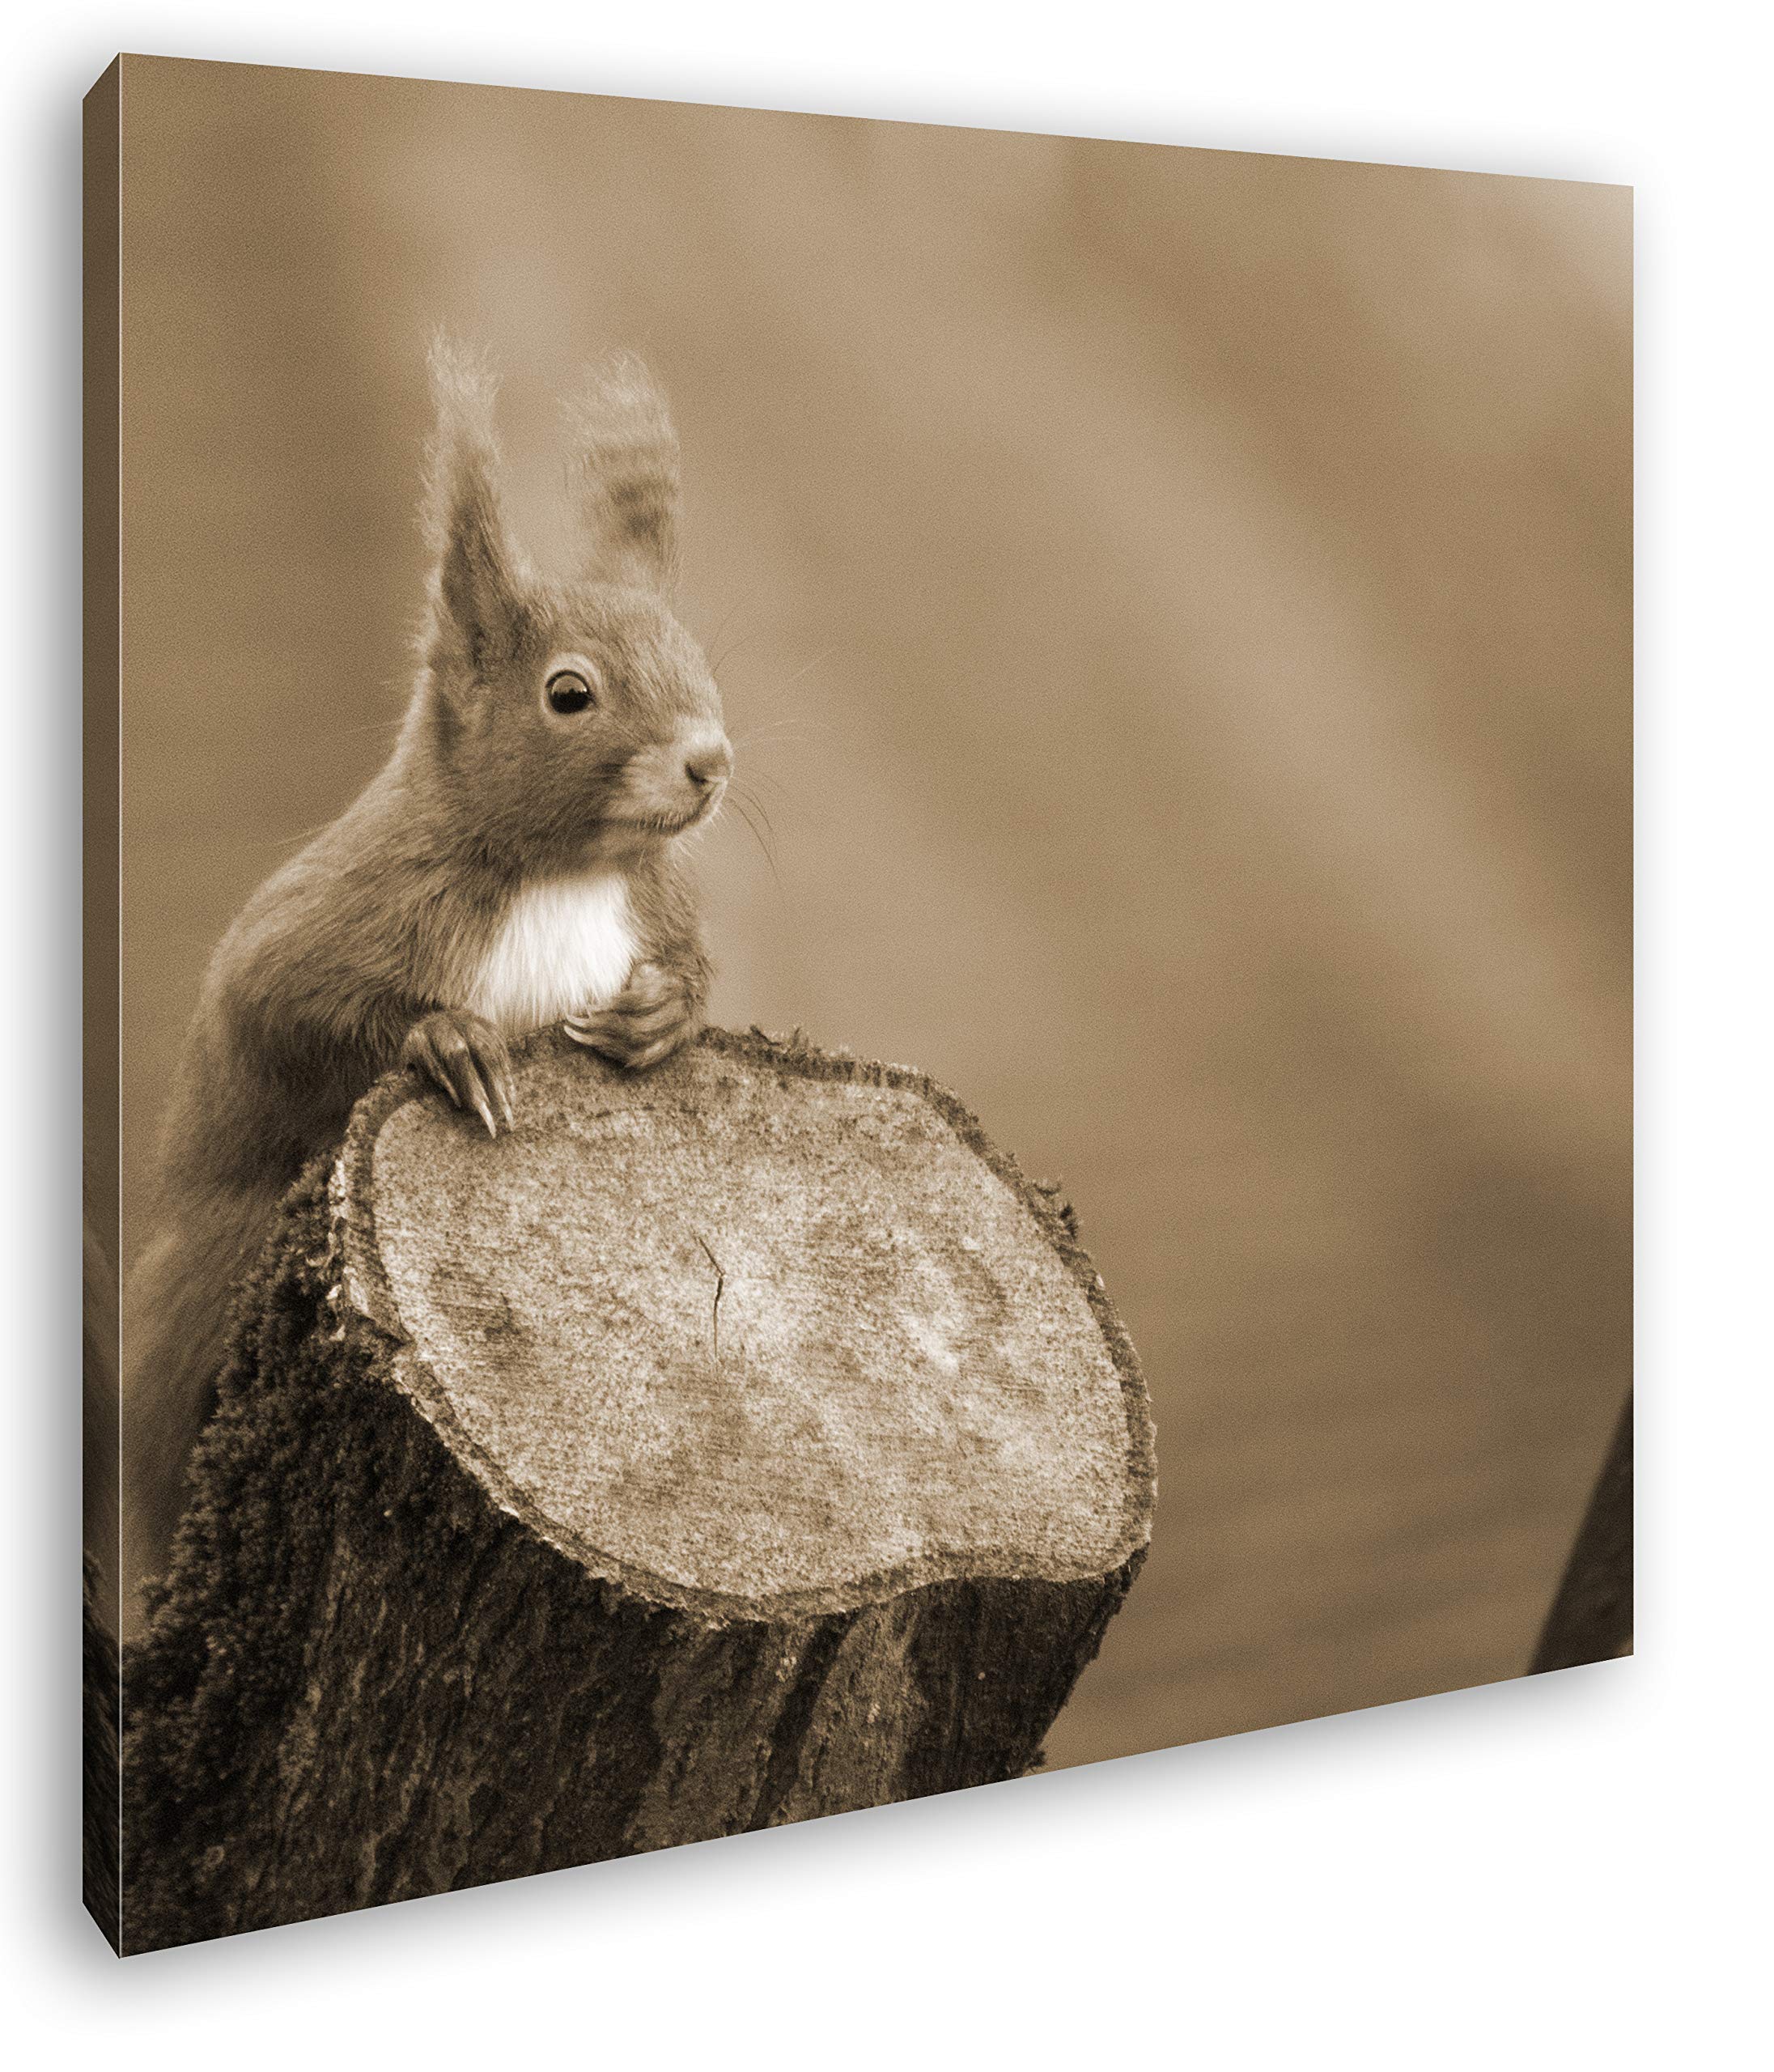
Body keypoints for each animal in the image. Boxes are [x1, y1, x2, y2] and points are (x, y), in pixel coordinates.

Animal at [120, 339, 732, 1635]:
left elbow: (688, 966)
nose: (711, 762)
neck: (561, 873)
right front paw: (450, 1041)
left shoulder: (651, 902)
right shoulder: (334, 917)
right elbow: (280, 1004)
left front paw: (663, 1011)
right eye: (569, 693)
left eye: (700, 662)